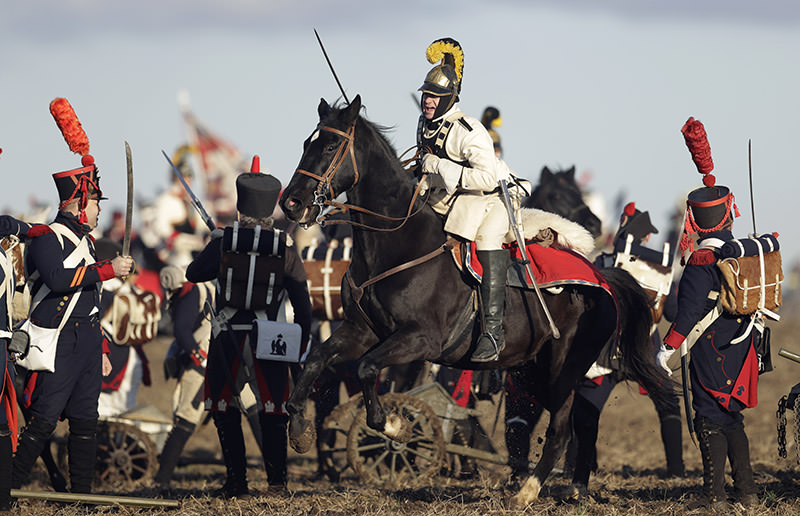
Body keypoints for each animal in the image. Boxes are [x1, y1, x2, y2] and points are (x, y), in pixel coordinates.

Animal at [282, 93, 668, 504]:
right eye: (307, 143)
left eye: (330, 146)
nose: (291, 203)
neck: (397, 245)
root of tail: (601, 277)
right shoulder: (362, 332)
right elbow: (317, 360)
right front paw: (299, 428)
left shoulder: (419, 340)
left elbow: (369, 370)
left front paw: (392, 424)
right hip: (538, 369)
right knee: (570, 423)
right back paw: (562, 486)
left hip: (564, 368)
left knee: (563, 429)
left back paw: (527, 492)